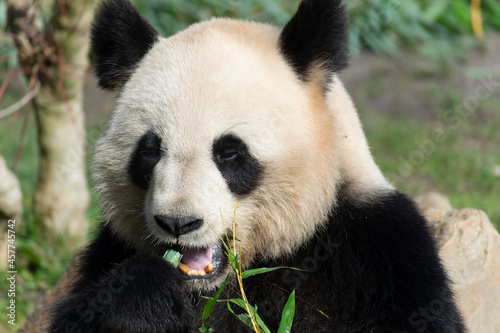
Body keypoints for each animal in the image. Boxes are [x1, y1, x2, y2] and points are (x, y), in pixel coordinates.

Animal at [28, 0, 464, 330]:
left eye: (230, 153)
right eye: (150, 151)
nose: (178, 223)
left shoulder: (375, 255)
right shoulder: (109, 252)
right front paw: (145, 296)